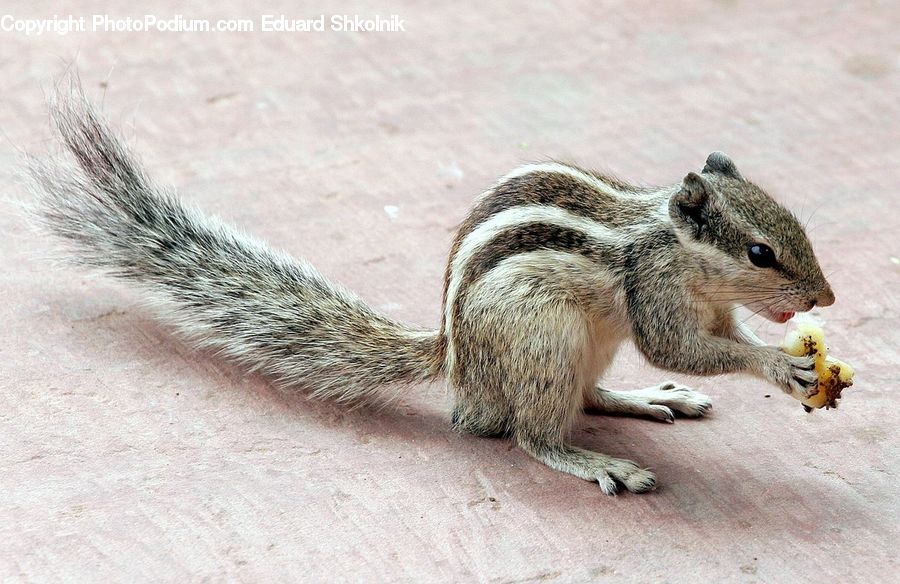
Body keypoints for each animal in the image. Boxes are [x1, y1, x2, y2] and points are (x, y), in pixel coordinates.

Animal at [27, 84, 834, 495]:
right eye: (760, 252)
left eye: (793, 221)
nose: (822, 299)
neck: (674, 246)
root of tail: (456, 362)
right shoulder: (656, 295)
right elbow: (683, 349)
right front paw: (777, 364)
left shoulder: (707, 308)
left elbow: (720, 344)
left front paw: (782, 359)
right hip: (542, 341)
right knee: (532, 433)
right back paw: (595, 460)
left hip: (579, 348)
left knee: (586, 397)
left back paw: (643, 399)